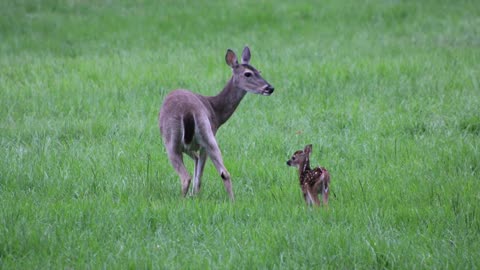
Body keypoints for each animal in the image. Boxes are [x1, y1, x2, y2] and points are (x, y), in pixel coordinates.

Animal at [159, 47, 274, 200]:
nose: (270, 88)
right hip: (205, 136)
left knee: (189, 176)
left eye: (259, 71)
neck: (215, 111)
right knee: (220, 173)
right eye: (248, 73)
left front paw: (193, 196)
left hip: (175, 141)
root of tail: (188, 111)